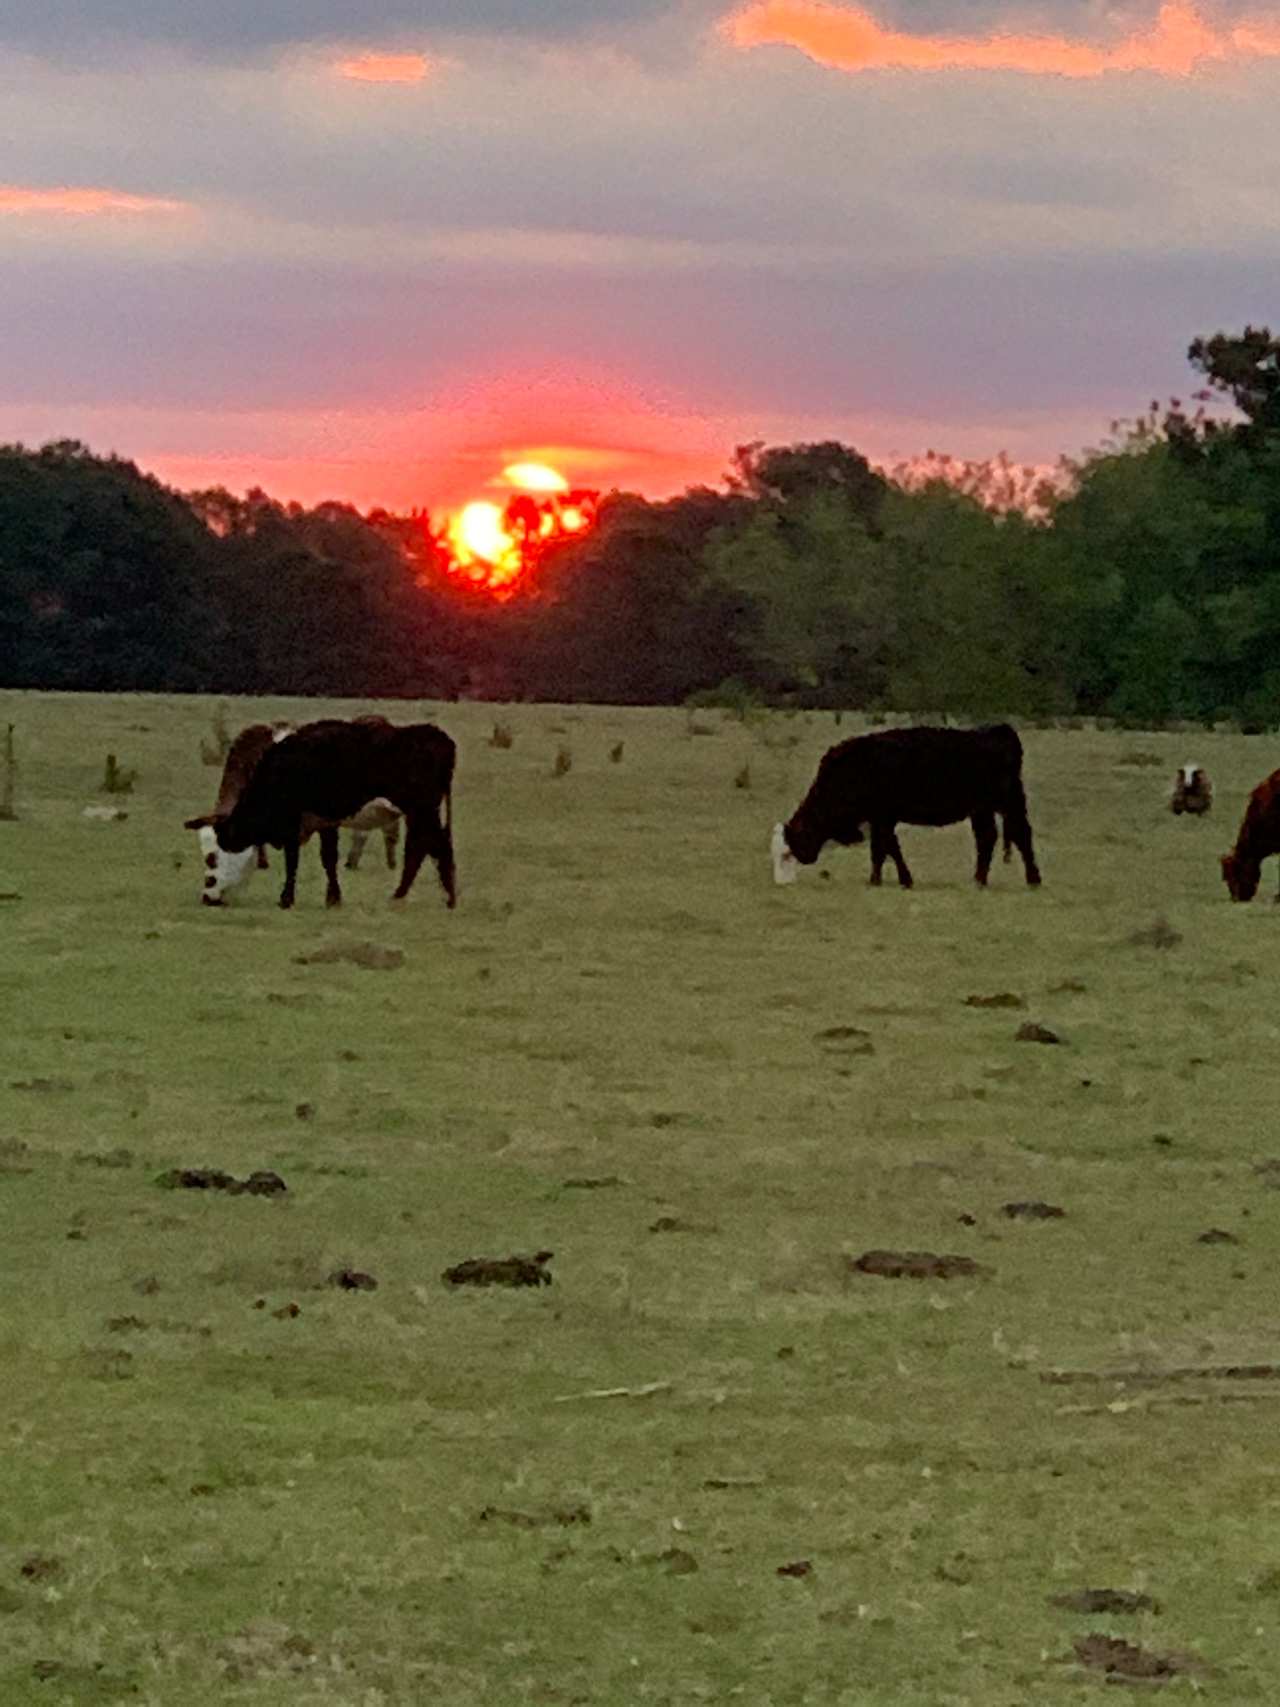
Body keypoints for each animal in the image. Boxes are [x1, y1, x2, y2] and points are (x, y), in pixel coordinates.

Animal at [185, 716, 457, 914]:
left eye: (211, 857)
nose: (207, 898)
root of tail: (436, 736)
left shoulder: (293, 821)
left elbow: (293, 860)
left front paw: (286, 899)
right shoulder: (326, 821)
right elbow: (329, 858)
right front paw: (333, 898)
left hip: (422, 810)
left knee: (429, 847)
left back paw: (432, 897)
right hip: (420, 813)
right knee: (424, 848)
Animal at [771, 723, 1044, 894]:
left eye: (787, 854)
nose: (781, 883)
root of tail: (997, 731)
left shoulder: (883, 817)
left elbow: (885, 848)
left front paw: (889, 880)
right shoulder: (880, 819)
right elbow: (885, 849)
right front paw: (885, 880)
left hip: (1009, 804)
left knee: (1021, 835)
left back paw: (1033, 880)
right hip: (982, 810)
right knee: (987, 838)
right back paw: (978, 881)